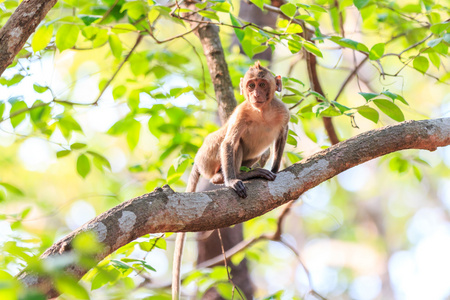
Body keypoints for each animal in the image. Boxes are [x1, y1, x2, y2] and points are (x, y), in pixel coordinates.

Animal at [171, 61, 290, 300]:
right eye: (251, 85)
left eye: (263, 84)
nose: (255, 94)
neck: (262, 112)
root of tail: (198, 158)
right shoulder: (242, 113)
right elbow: (229, 143)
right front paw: (231, 183)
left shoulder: (283, 111)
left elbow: (282, 136)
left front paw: (275, 169)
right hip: (209, 154)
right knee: (233, 142)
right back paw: (232, 177)